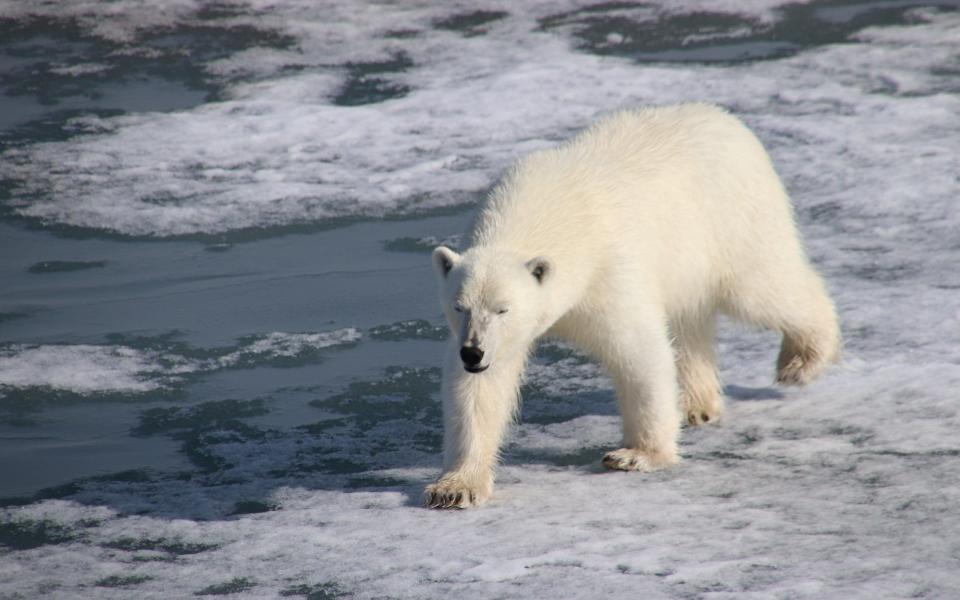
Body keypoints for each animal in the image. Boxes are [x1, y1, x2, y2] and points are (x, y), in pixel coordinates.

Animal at [428, 105, 840, 508]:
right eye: (459, 307)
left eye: (503, 309)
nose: (473, 353)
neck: (547, 212)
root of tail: (729, 121)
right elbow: (480, 388)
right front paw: (455, 487)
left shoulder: (607, 270)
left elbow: (637, 349)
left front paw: (637, 454)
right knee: (691, 321)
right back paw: (696, 404)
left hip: (732, 218)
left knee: (761, 287)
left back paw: (801, 360)